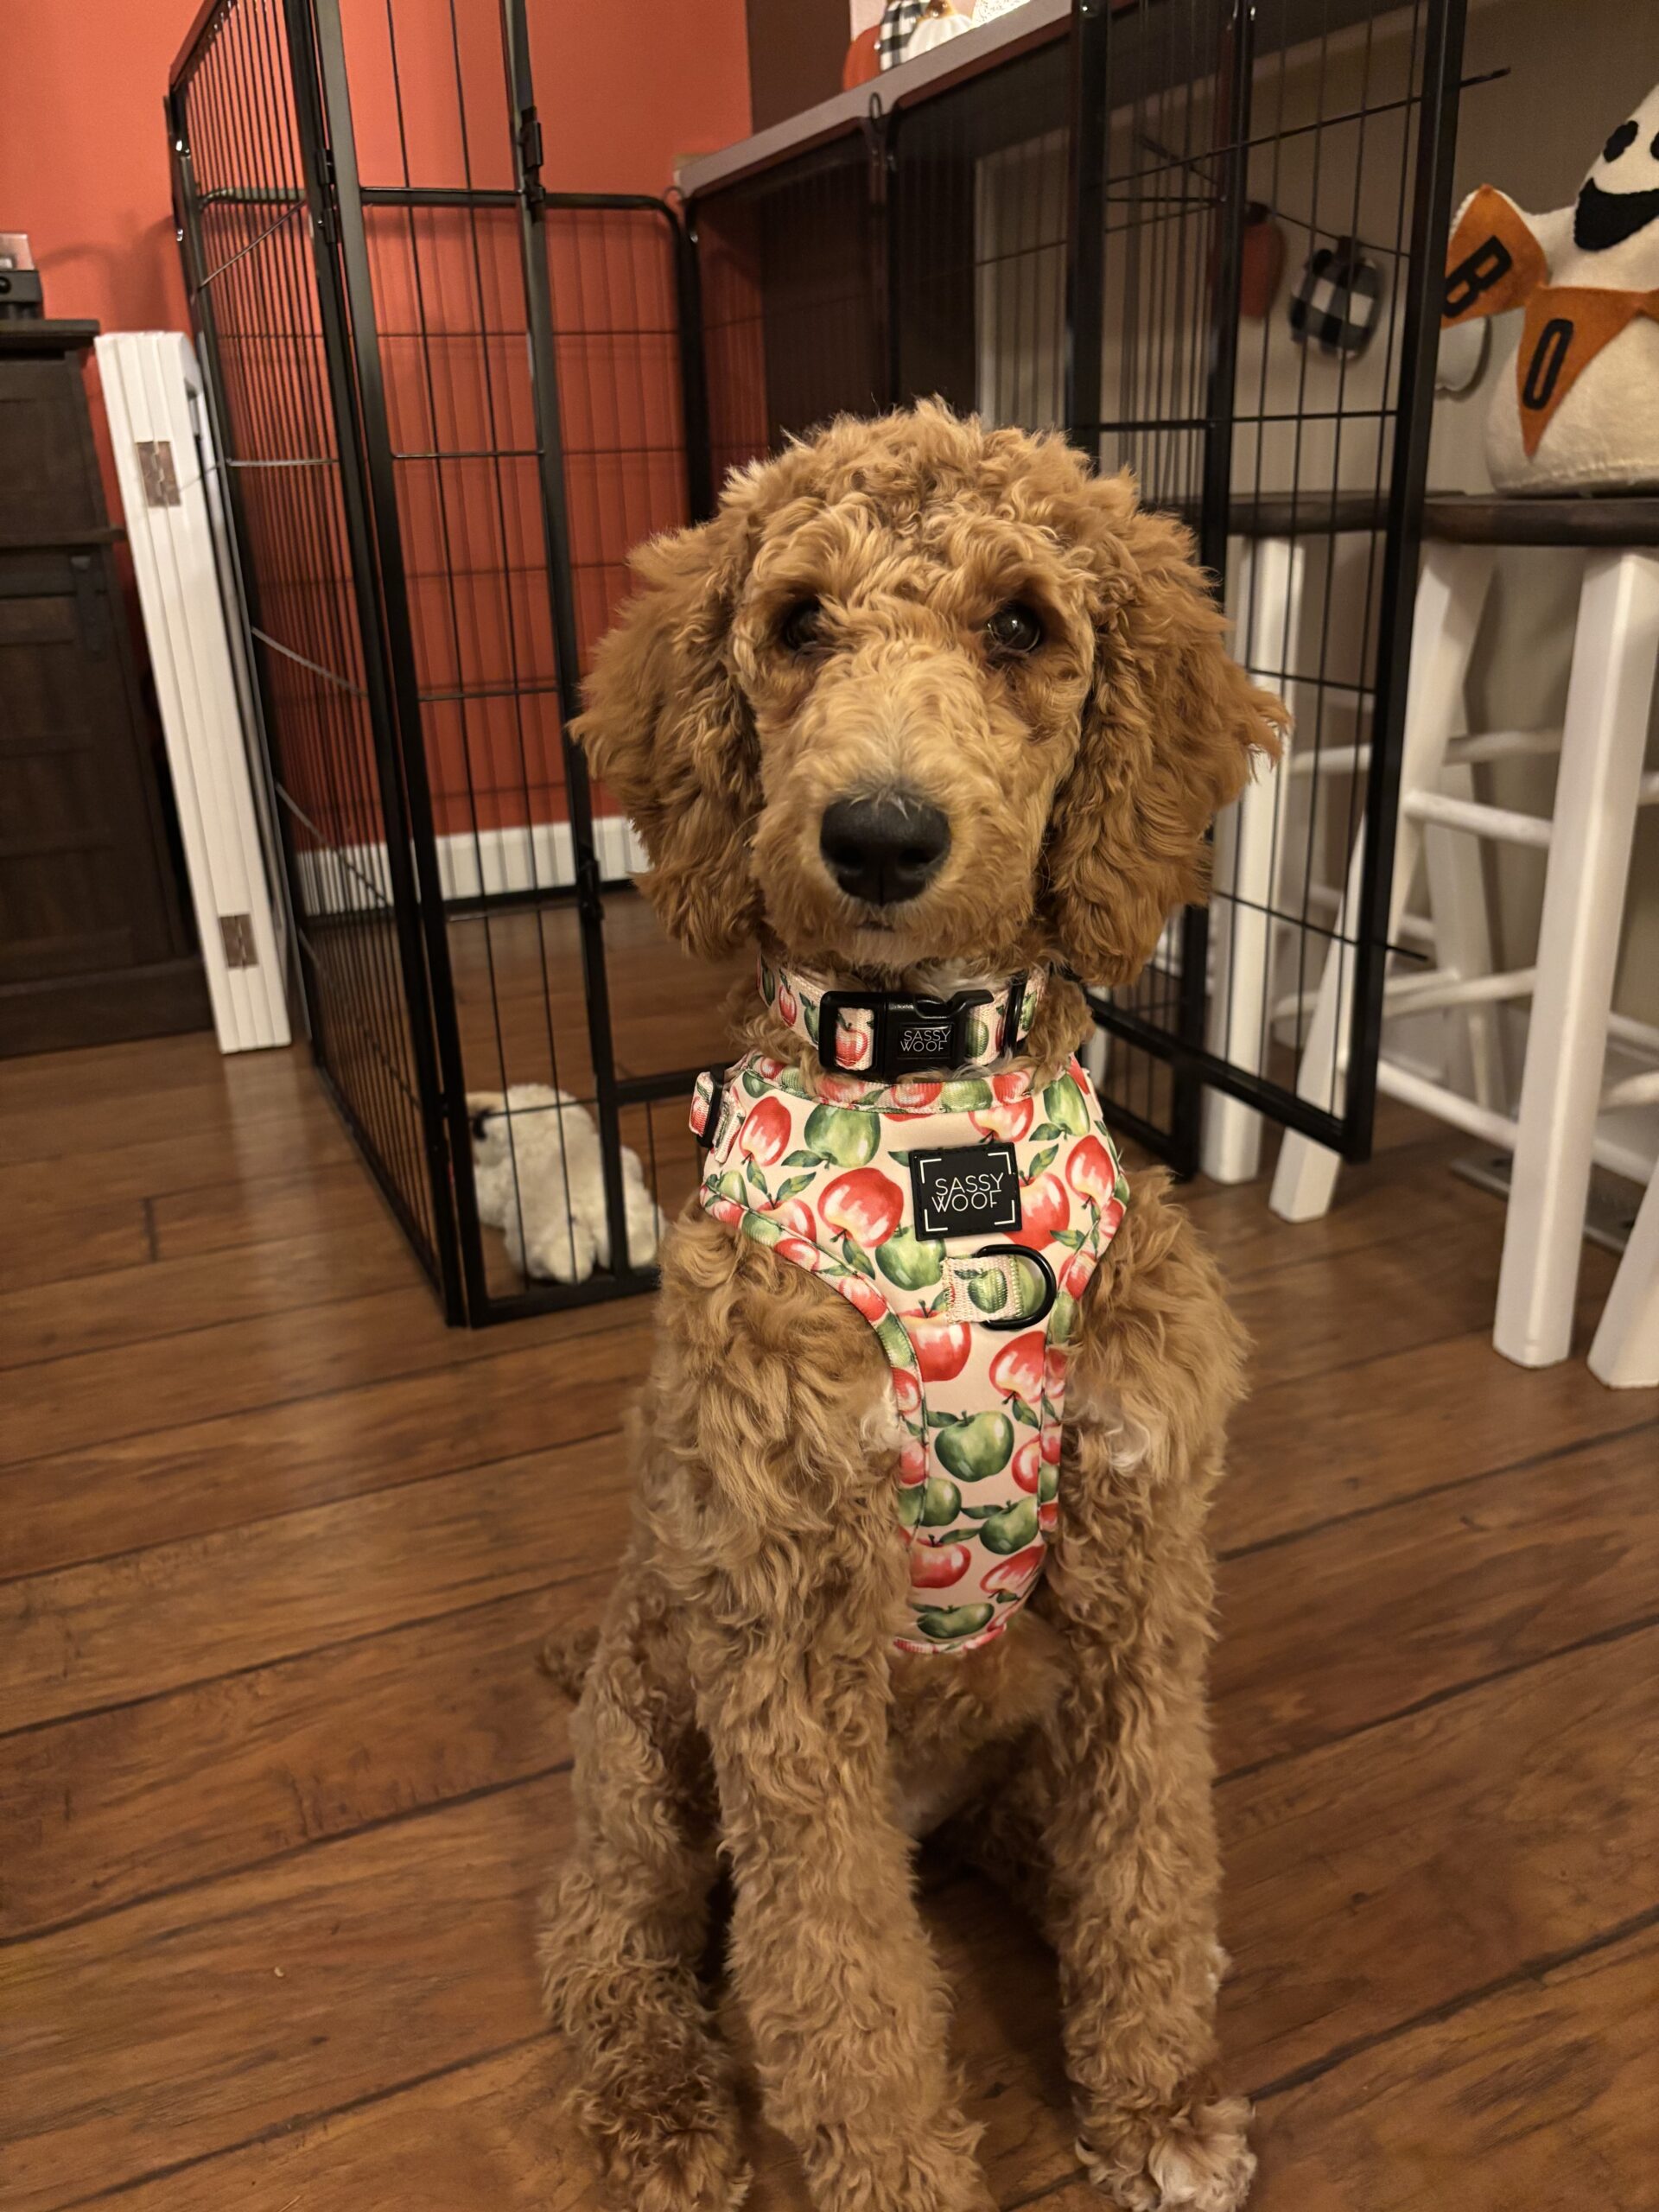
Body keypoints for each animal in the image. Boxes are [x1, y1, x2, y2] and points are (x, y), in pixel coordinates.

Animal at [542, 402, 1282, 2212]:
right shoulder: (787, 1638)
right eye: (799, 622)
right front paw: (897, 2174)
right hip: (648, 1745)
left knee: (1068, 1855)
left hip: (1021, 1718)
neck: (932, 1109)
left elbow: (1154, 1867)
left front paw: (1154, 2107)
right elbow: (837, 1973)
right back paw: (664, 2110)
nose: (878, 838)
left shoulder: (1140, 1583)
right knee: (609, 1939)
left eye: (1021, 624)